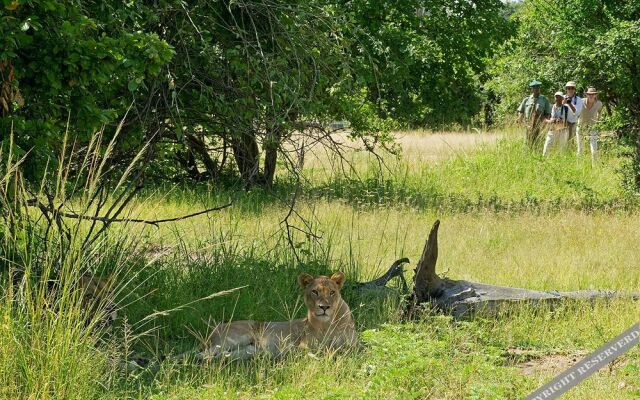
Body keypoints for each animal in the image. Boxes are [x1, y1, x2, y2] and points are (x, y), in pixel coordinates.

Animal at [198, 272, 358, 360]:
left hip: (247, 351)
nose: (324, 307)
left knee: (224, 355)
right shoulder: (303, 345)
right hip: (234, 338)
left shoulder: (354, 345)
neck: (327, 324)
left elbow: (346, 349)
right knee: (203, 354)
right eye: (315, 292)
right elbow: (321, 350)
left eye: (332, 292)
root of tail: (214, 328)